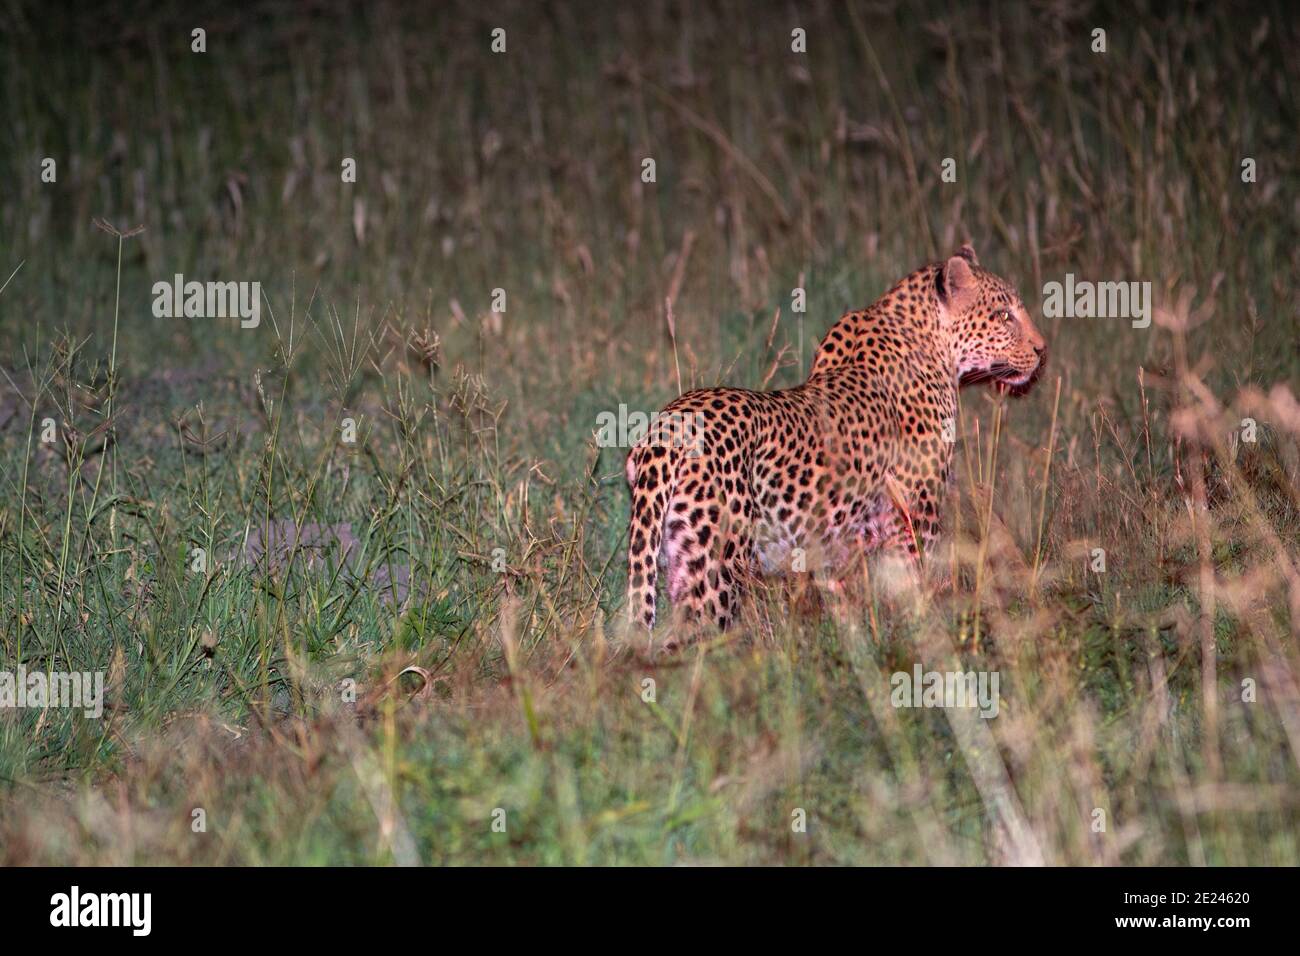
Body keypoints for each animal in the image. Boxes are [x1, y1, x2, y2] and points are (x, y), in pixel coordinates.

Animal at [621, 247, 1045, 632]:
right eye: (1004, 315)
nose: (1042, 349)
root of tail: (670, 426)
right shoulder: (914, 515)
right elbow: (919, 583)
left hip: (679, 555)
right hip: (717, 567)